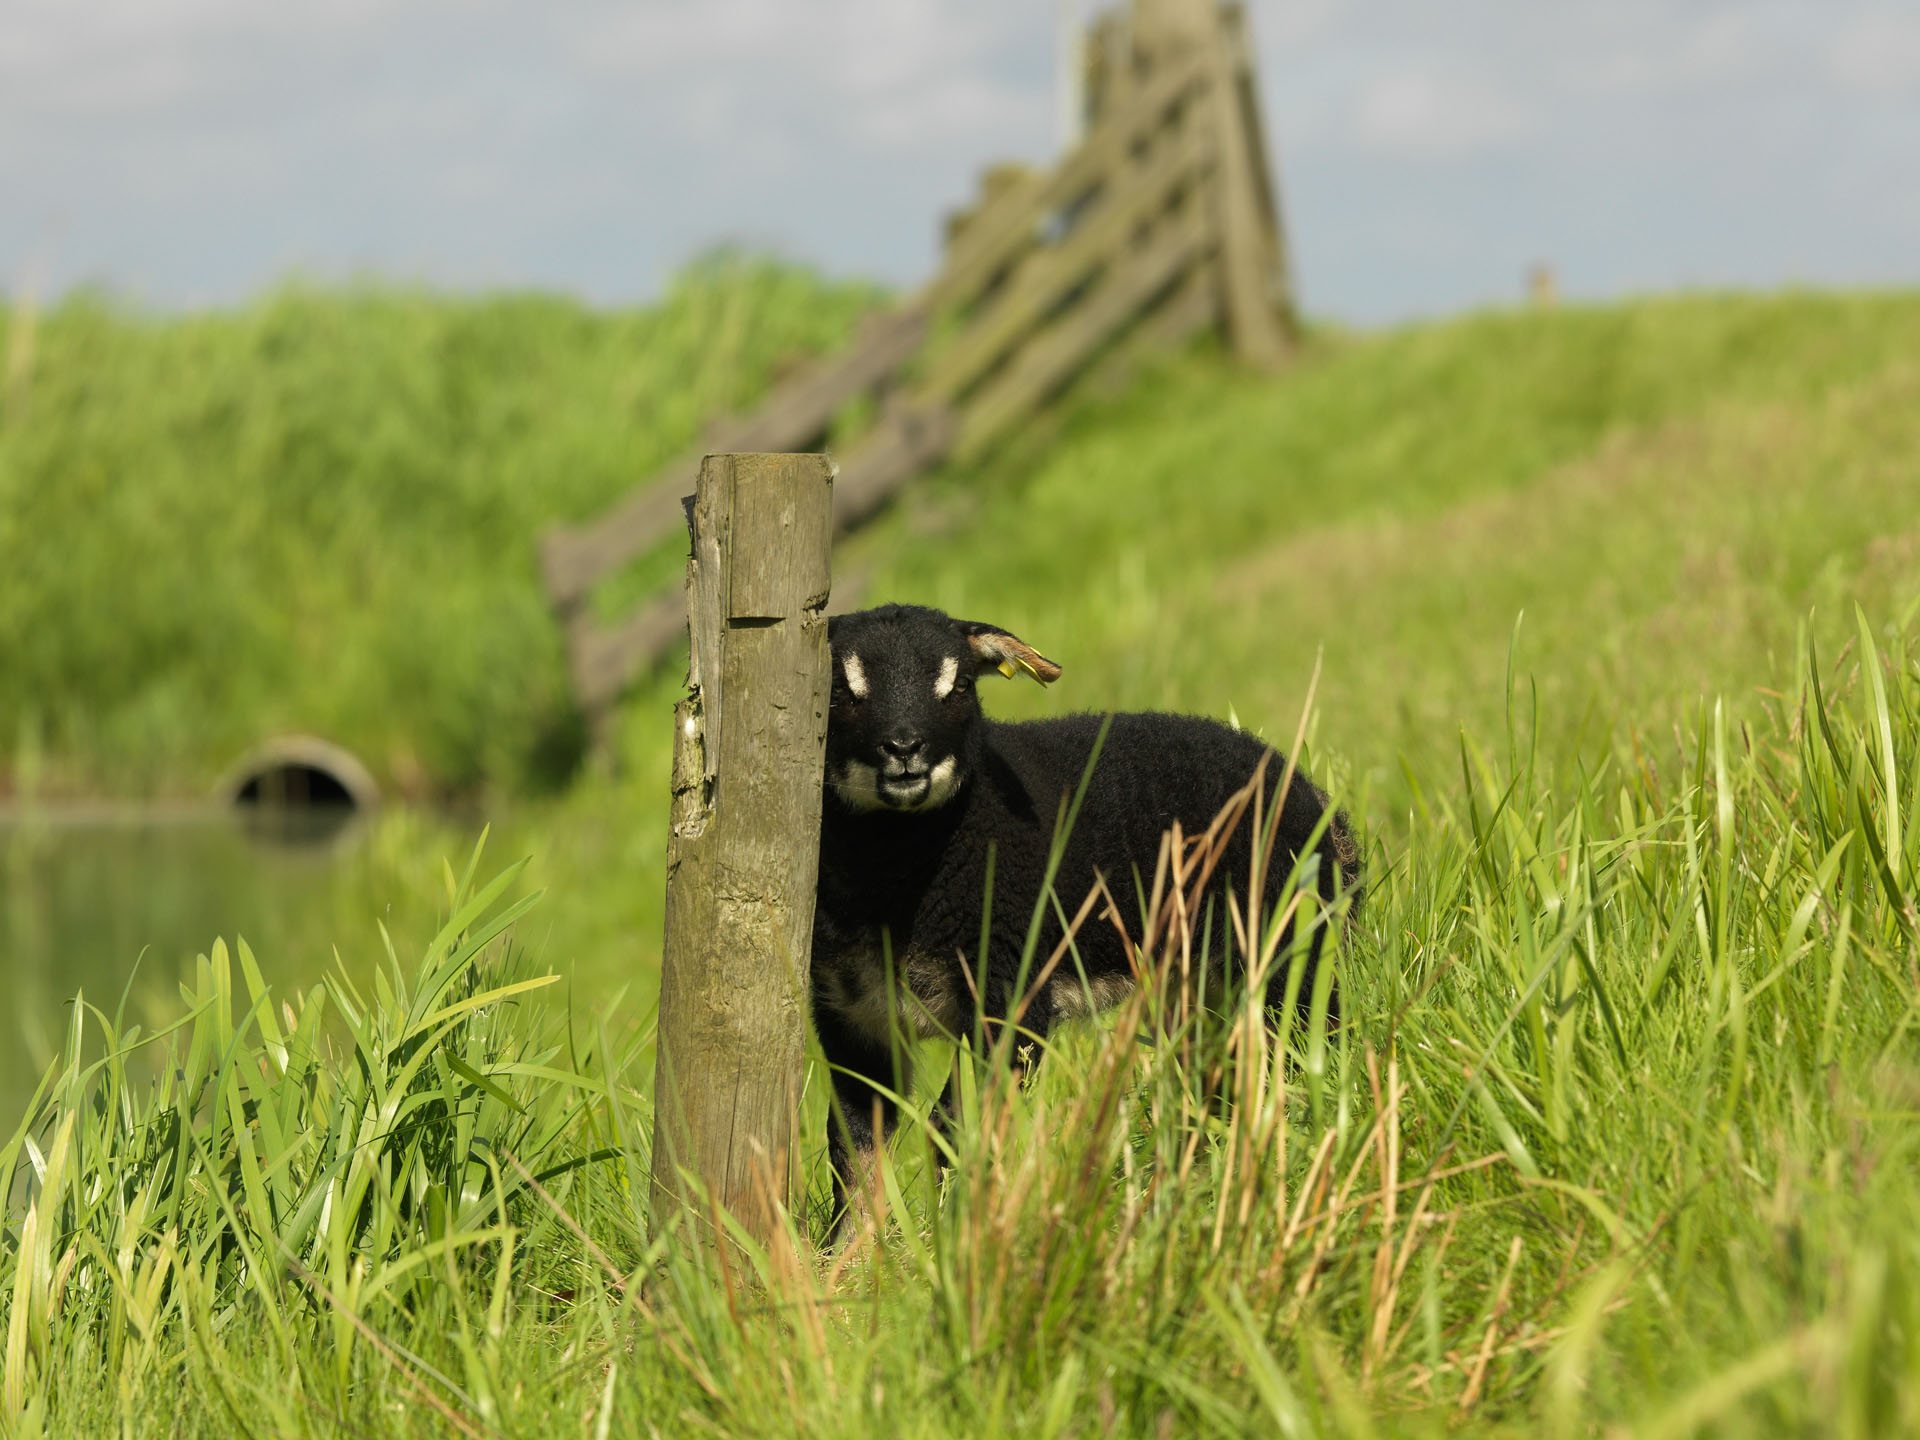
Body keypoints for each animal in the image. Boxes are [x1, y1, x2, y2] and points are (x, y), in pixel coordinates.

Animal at [811, 603, 1359, 1224]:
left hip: (1289, 948)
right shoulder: (851, 1017)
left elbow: (956, 1132)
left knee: (1307, 1045)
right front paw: (851, 1250)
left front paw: (956, 1234)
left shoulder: (1011, 992)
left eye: (959, 686)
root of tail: (1321, 806)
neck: (898, 888)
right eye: (841, 689)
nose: (905, 748)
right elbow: (854, 1150)